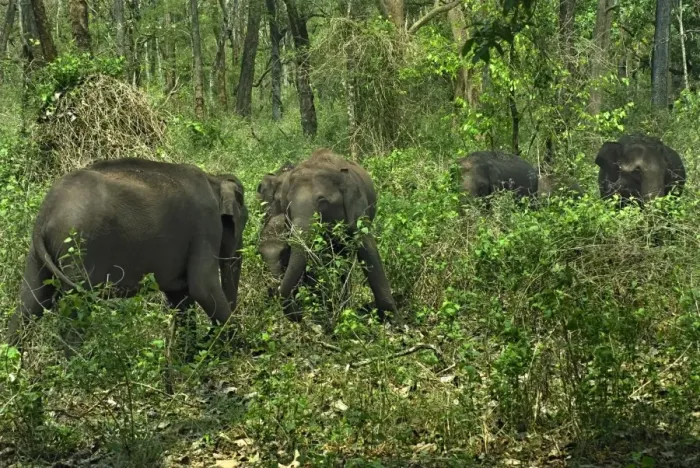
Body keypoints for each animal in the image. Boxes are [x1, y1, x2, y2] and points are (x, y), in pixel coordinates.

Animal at [6, 158, 248, 355]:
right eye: (241, 224)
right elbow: (203, 288)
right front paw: (242, 348)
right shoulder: (205, 226)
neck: (214, 179)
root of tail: (46, 213)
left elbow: (181, 296)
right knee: (75, 310)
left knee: (30, 302)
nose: (208, 341)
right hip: (79, 246)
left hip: (38, 253)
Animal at [256, 149, 399, 324]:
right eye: (288, 204)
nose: (300, 315)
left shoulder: (357, 205)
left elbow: (367, 246)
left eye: (322, 201)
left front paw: (392, 319)